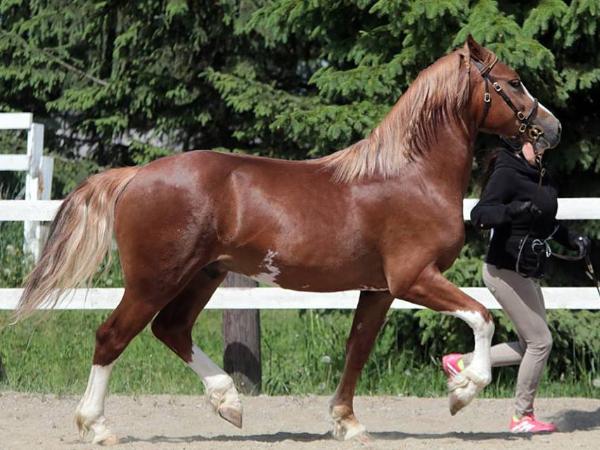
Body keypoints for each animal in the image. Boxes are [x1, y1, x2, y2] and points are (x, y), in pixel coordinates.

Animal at [14, 36, 561, 444]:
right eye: (513, 81)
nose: (551, 128)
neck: (409, 176)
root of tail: (135, 175)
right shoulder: (413, 279)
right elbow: (483, 316)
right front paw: (462, 390)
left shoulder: (379, 290)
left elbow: (357, 348)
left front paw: (347, 423)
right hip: (155, 279)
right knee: (113, 336)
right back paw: (97, 426)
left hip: (203, 275)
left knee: (171, 330)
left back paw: (229, 402)